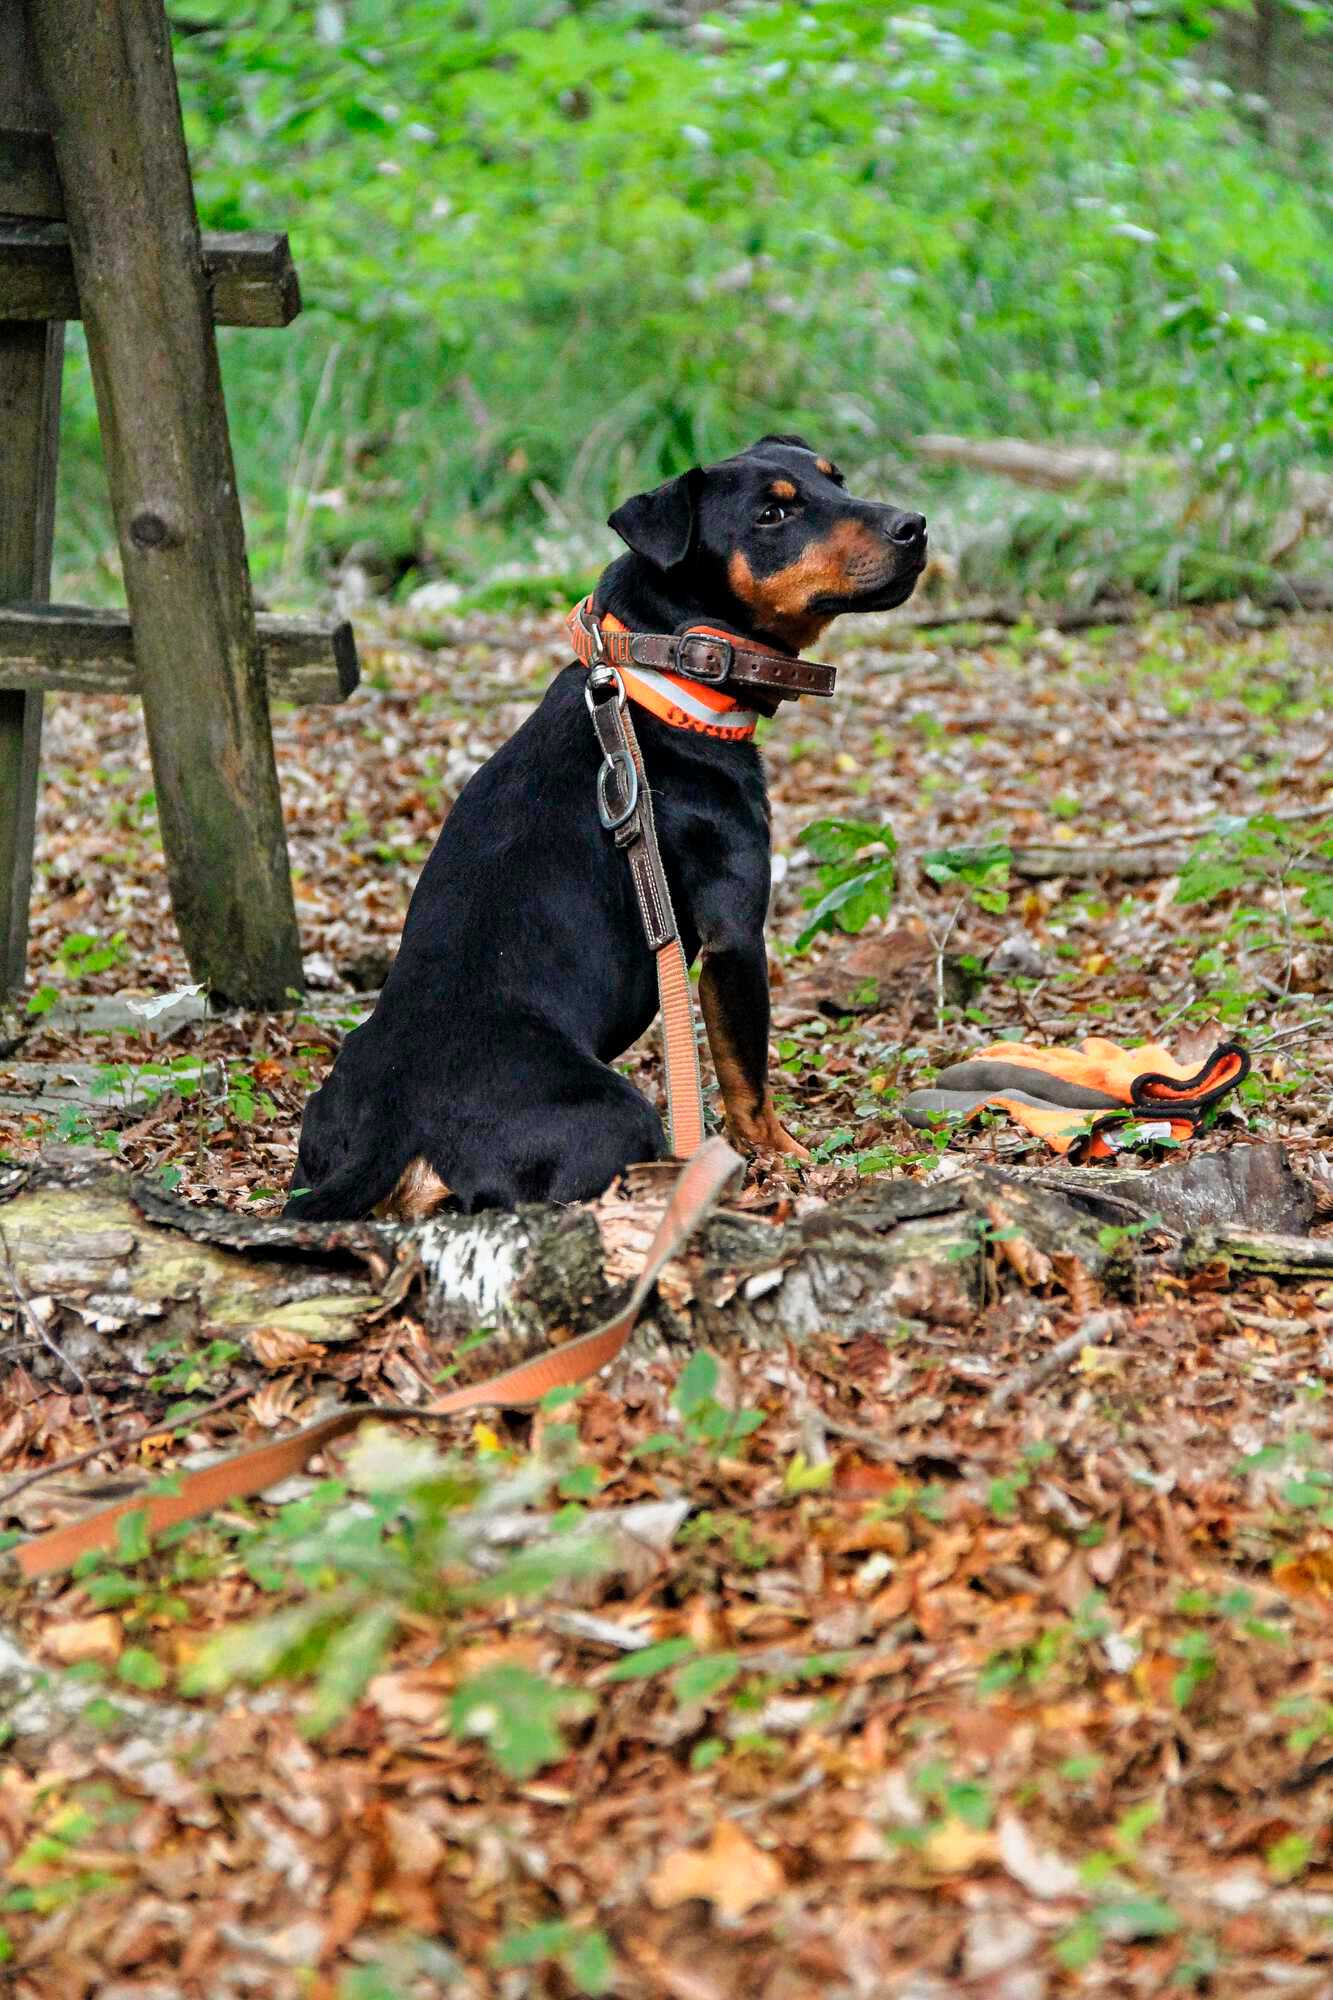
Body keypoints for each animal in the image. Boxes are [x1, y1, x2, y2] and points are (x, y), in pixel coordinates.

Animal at [282, 440, 924, 1216]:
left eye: (838, 481)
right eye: (772, 514)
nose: (914, 526)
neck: (665, 679)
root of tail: (390, 1125)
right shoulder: (735, 933)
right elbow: (747, 1078)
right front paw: (785, 1157)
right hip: (619, 1116)